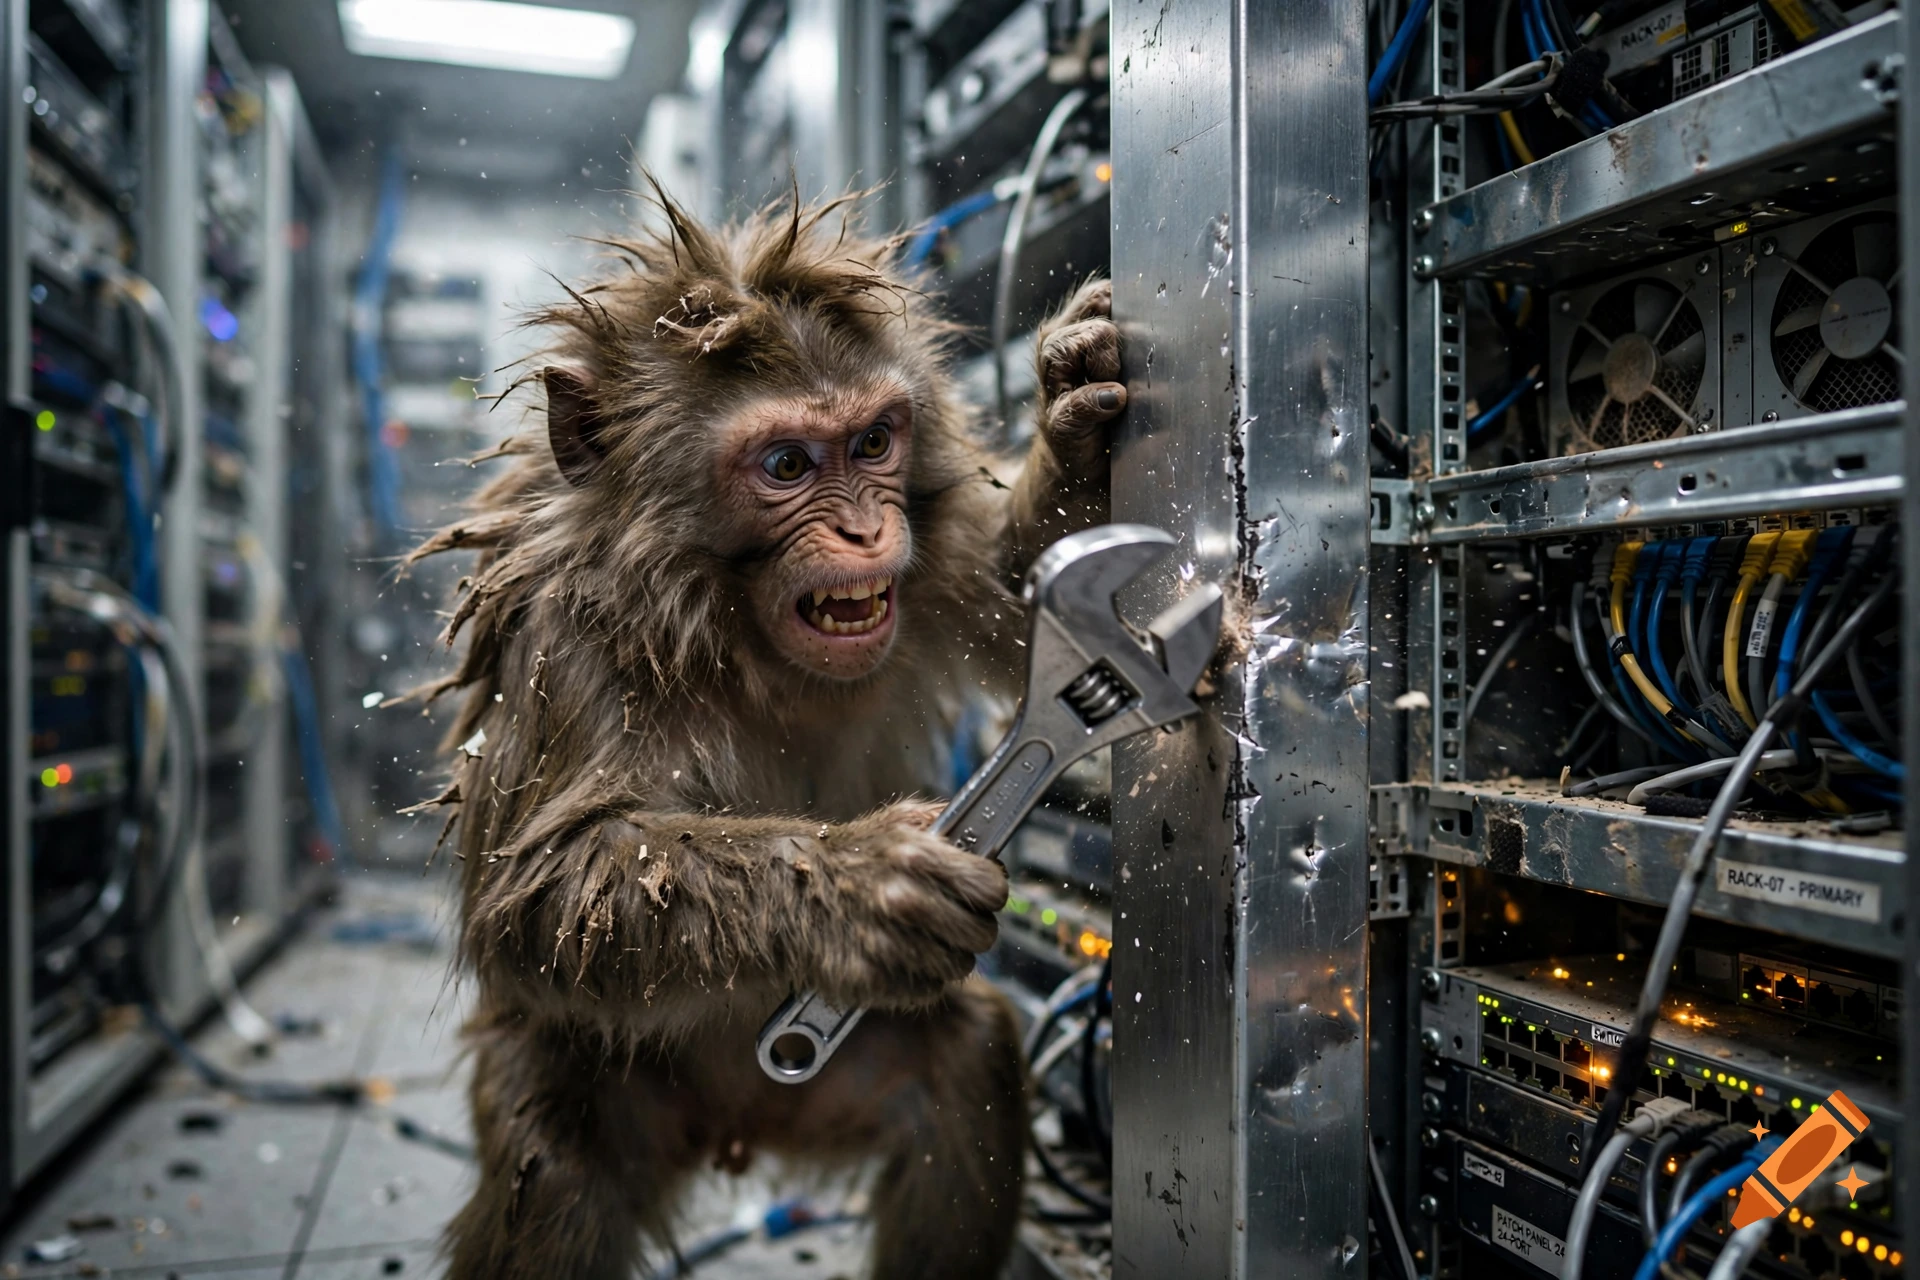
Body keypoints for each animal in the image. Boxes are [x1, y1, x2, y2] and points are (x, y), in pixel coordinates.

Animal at [403, 185, 1125, 1280]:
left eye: (873, 444)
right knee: (553, 1168)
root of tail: (736, 1128)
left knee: (969, 1065)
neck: (735, 627)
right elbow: (541, 884)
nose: (867, 532)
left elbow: (1018, 593)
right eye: (787, 464)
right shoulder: (561, 645)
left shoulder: (938, 550)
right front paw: (864, 885)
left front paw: (1078, 406)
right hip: (609, 1074)